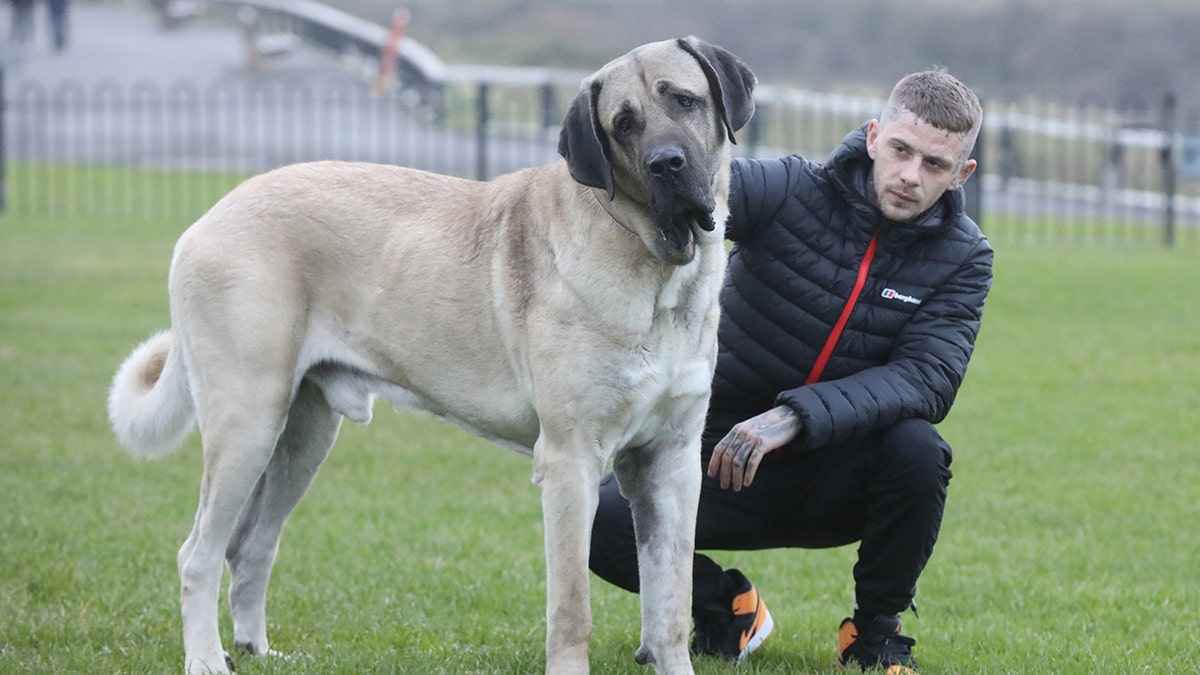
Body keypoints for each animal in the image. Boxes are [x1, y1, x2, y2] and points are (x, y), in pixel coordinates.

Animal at [108, 38, 753, 672]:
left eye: (685, 100)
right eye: (623, 124)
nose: (666, 163)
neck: (658, 269)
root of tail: (210, 217)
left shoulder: (670, 463)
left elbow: (668, 604)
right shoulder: (571, 461)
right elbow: (573, 610)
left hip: (302, 436)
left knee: (249, 545)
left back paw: (257, 649)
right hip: (247, 421)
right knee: (197, 553)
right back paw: (207, 658)